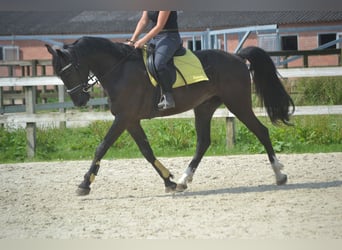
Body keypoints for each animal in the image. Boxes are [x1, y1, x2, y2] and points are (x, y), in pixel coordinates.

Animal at [45, 36, 294, 195]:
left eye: (70, 70)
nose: (79, 101)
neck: (120, 70)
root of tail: (237, 57)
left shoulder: (123, 118)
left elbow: (101, 147)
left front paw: (85, 184)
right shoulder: (131, 121)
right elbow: (147, 151)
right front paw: (169, 181)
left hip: (238, 103)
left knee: (261, 131)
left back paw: (279, 175)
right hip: (204, 108)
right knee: (203, 142)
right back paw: (184, 180)